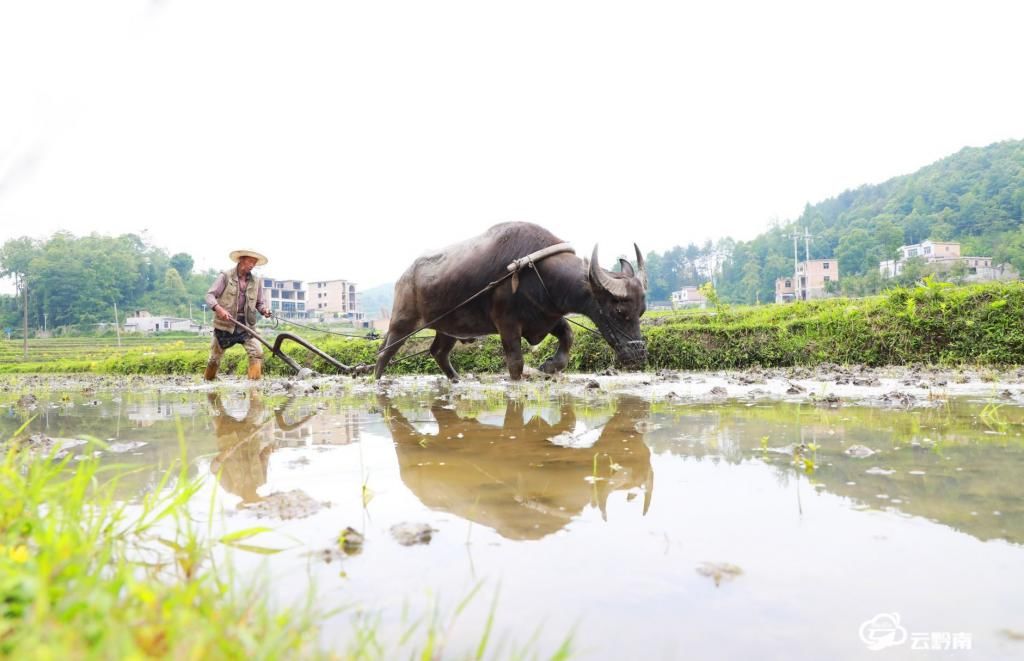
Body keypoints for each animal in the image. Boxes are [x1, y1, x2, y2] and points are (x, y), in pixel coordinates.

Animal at [376, 221, 647, 380]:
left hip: (448, 327)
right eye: (620, 311)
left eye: (641, 312)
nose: (639, 355)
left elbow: (568, 337)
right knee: (386, 351)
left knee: (438, 352)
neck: (540, 273)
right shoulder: (507, 324)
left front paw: (549, 366)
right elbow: (516, 362)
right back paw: (378, 381)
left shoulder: (547, 317)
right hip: (402, 321)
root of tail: (404, 277)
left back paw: (456, 380)